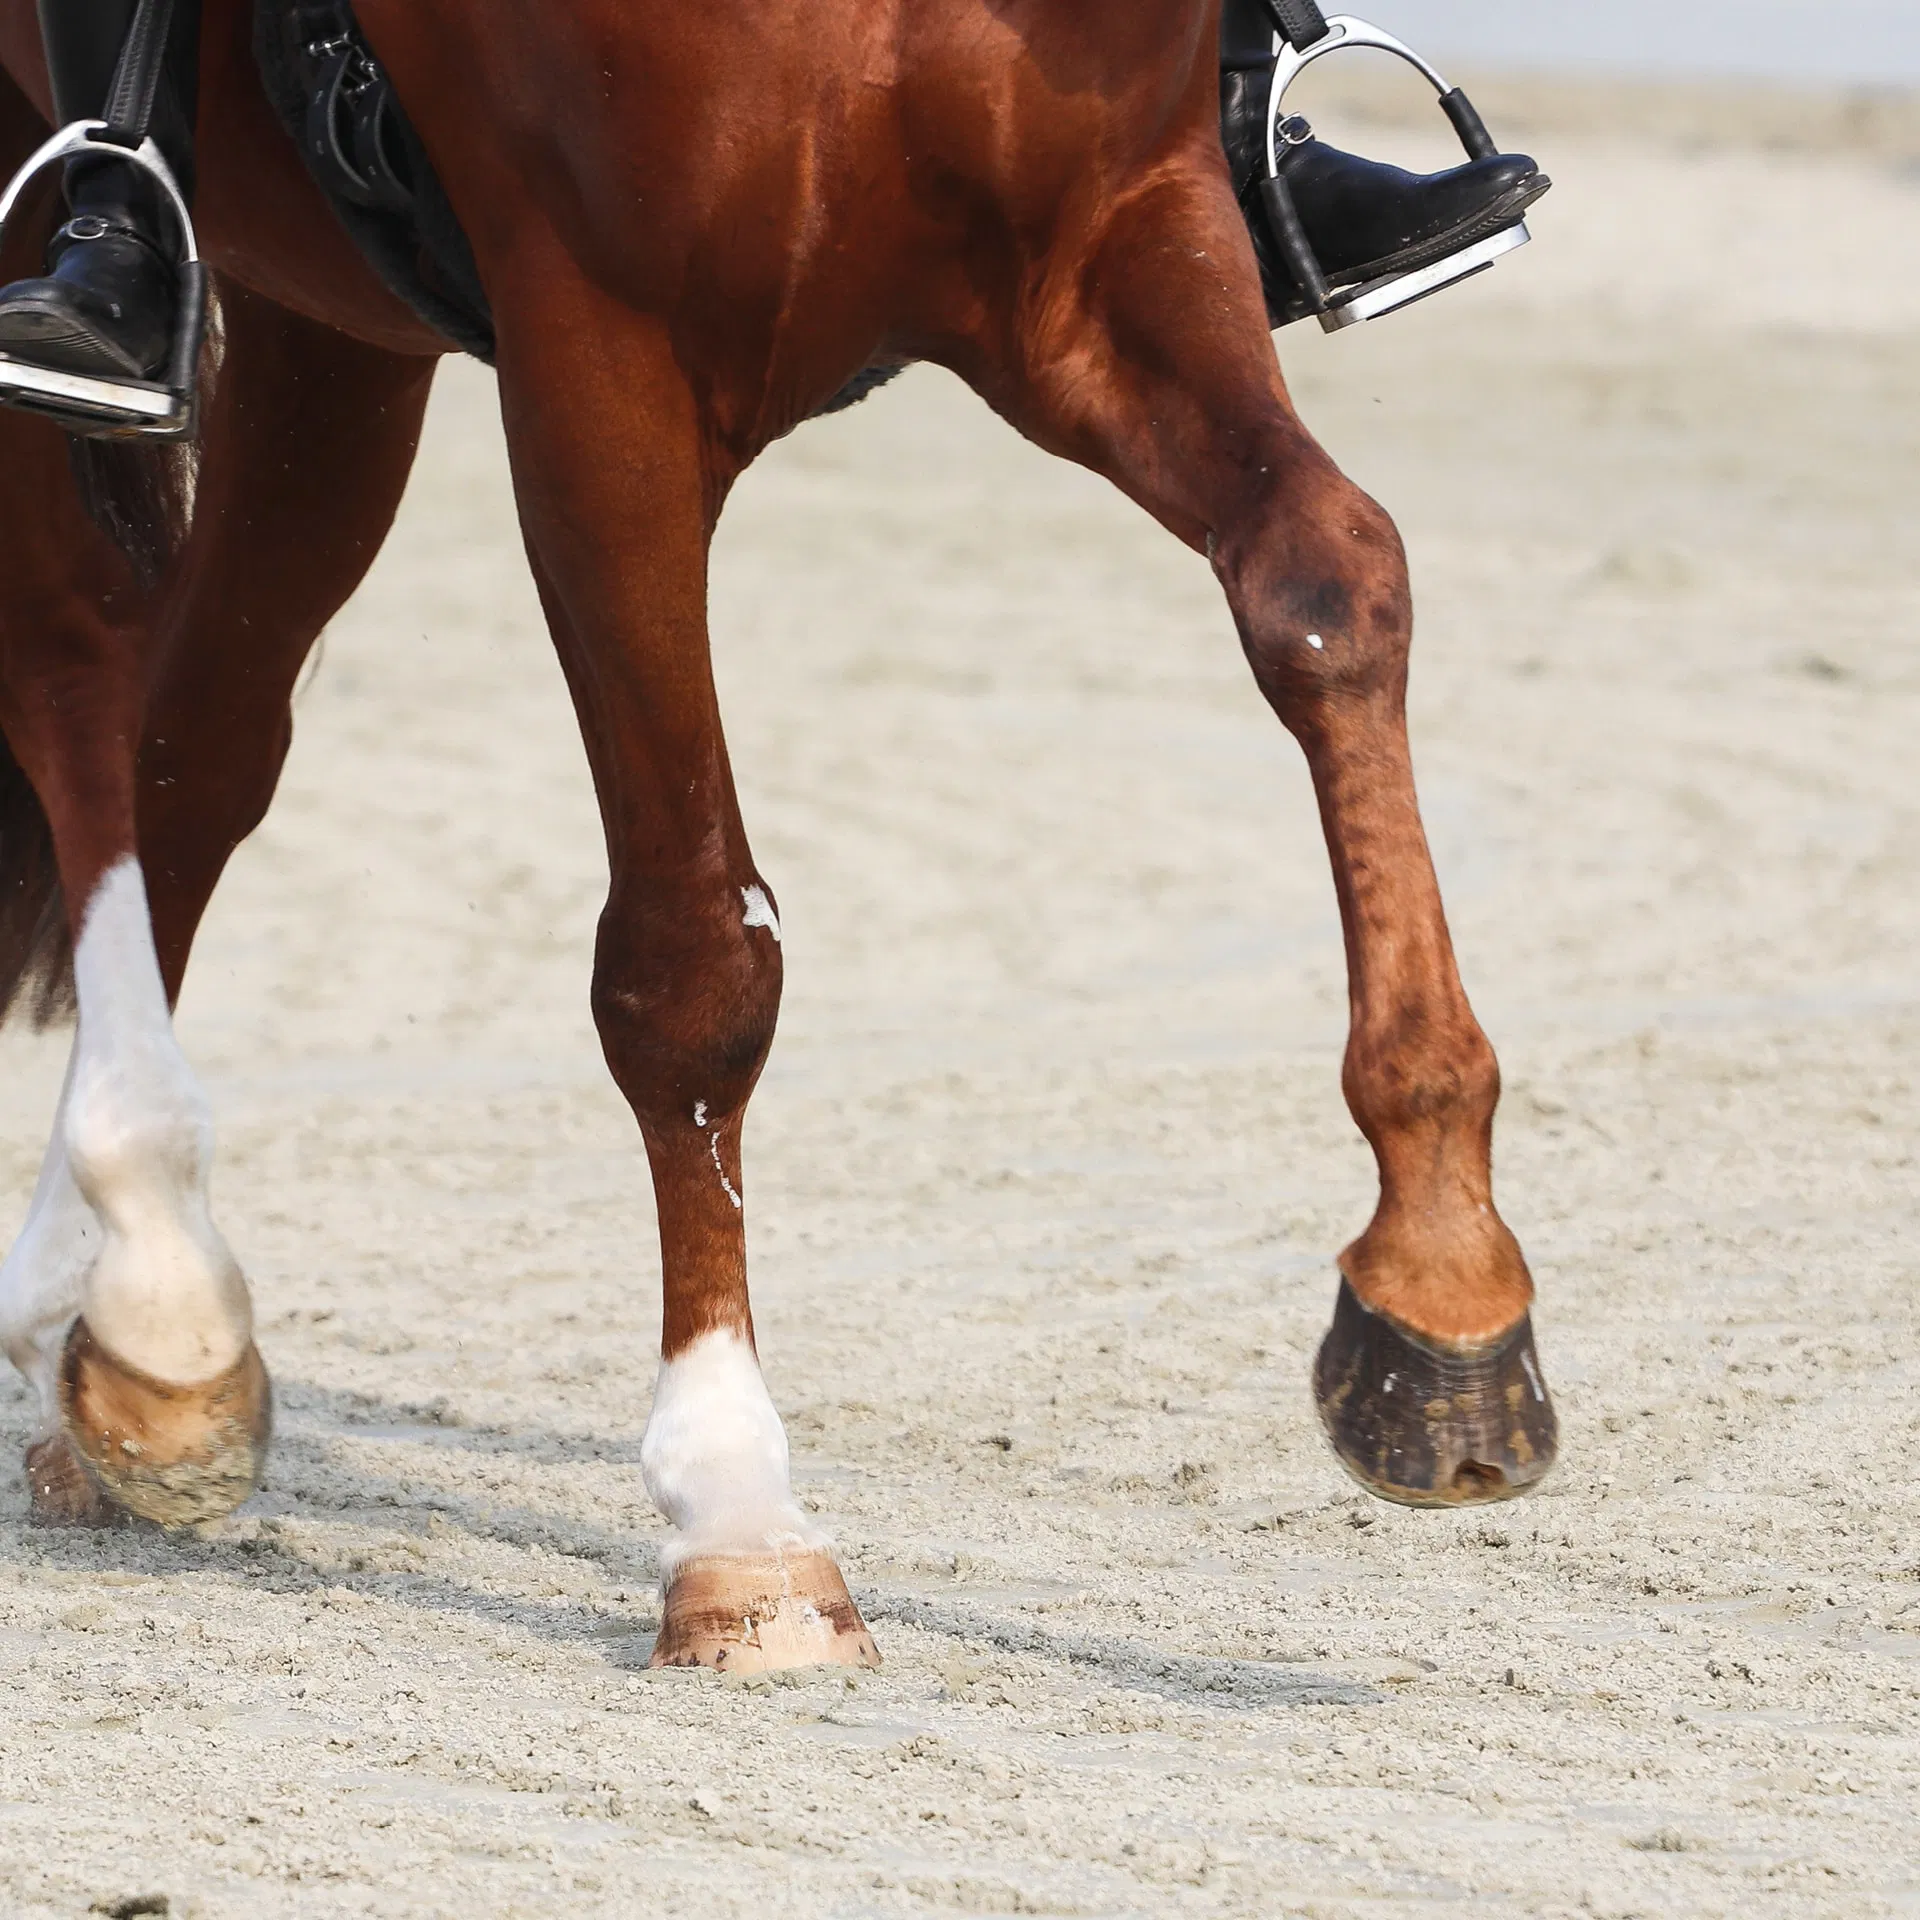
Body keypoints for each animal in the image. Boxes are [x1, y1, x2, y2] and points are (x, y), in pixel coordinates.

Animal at [0, 0, 1558, 1673]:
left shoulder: (1110, 247)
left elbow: (1329, 577)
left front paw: (1444, 1292)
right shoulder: (599, 361)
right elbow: (693, 968)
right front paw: (738, 1525)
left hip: (333, 336)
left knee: (197, 740)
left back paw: (117, 1328)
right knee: (78, 660)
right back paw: (149, 1268)